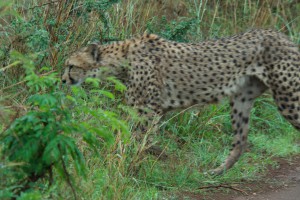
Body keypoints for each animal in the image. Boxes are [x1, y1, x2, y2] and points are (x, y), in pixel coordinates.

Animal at [61, 28, 300, 174]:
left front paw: (128, 166)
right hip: (242, 98)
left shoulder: (149, 109)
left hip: (288, 97)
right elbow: (137, 139)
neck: (122, 59)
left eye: (71, 65)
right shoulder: (150, 110)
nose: (62, 80)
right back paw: (217, 171)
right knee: (240, 142)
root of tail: (281, 36)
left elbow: (136, 140)